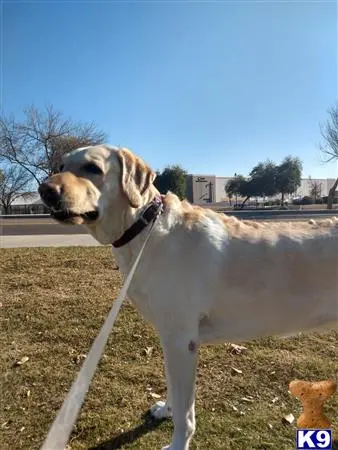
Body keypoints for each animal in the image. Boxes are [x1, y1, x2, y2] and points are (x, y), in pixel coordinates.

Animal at [39, 144, 338, 450]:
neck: (144, 227)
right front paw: (165, 410)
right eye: (60, 167)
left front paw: (177, 443)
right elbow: (172, 385)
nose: (45, 190)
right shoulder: (169, 338)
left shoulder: (182, 341)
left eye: (93, 168)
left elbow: (185, 413)